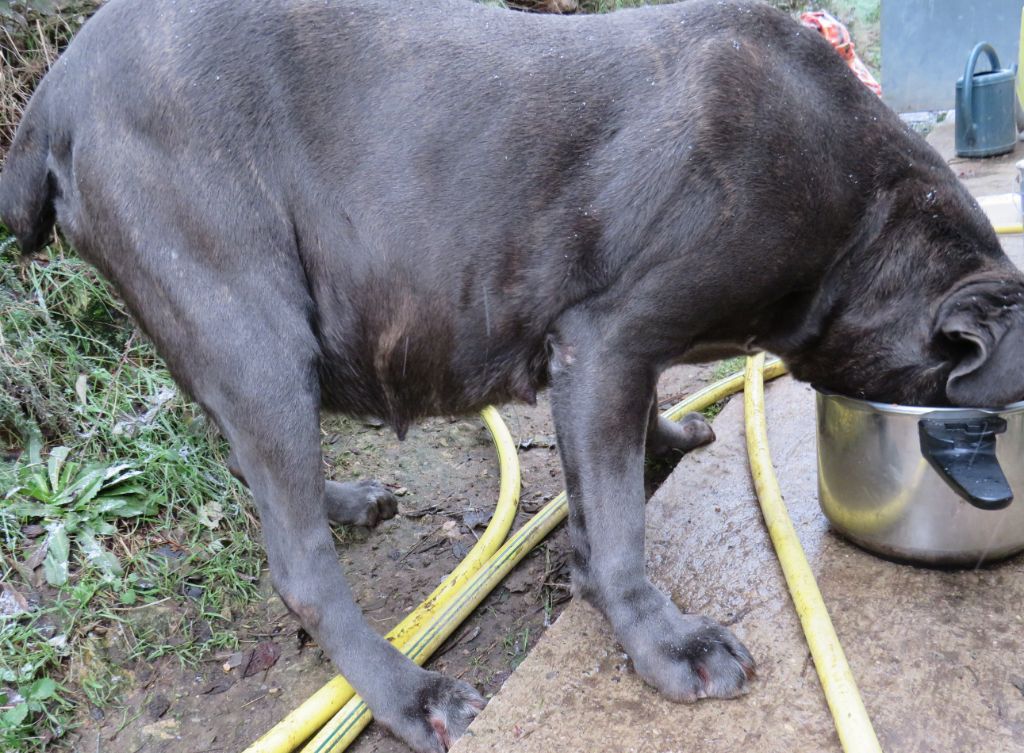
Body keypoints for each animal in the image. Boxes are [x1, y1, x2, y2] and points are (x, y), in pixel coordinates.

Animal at [2, 0, 1024, 749]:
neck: (865, 217)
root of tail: (54, 95)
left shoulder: (613, 361)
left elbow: (628, 444)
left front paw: (671, 437)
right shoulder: (607, 338)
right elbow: (616, 529)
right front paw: (665, 643)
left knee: (246, 463)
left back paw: (345, 501)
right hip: (250, 323)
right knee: (296, 561)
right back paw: (411, 694)